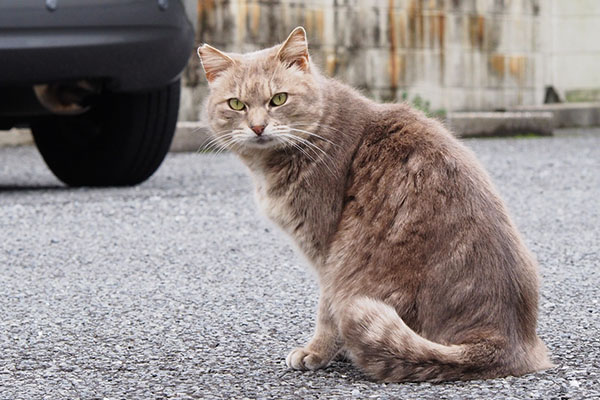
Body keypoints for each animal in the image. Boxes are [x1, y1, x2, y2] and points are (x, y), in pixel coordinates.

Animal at [197, 26, 552, 382]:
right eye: (237, 104)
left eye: (279, 99)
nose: (258, 127)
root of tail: (503, 339)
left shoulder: (326, 252)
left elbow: (325, 311)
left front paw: (316, 352)